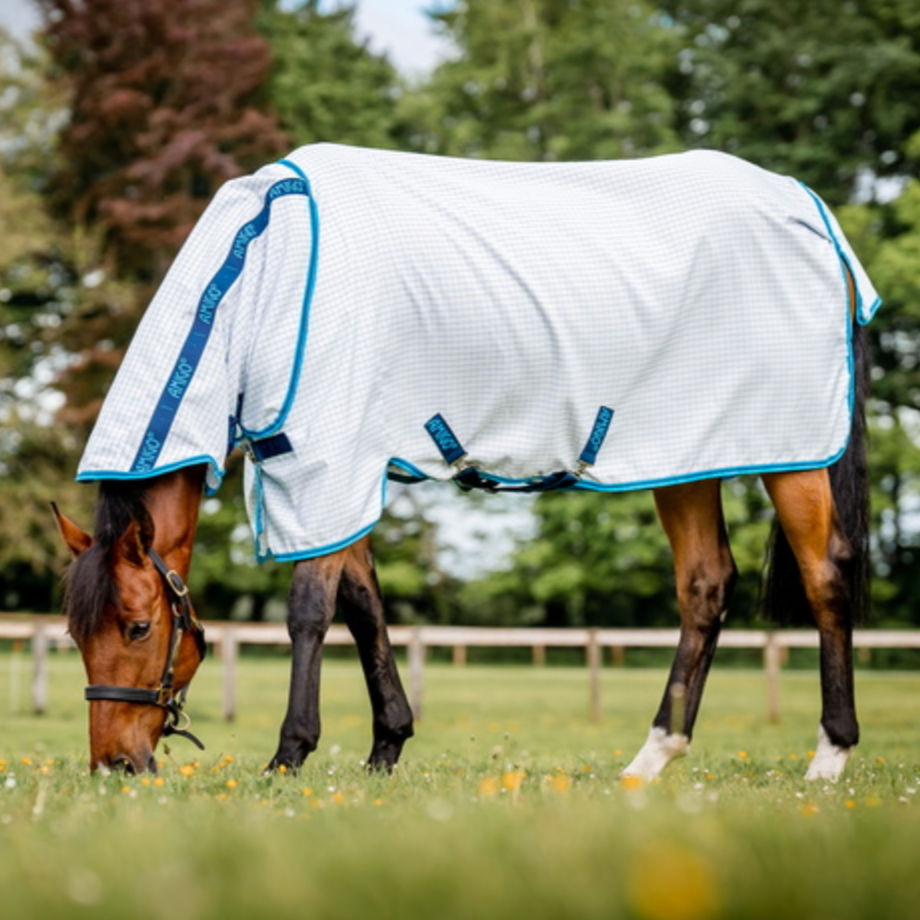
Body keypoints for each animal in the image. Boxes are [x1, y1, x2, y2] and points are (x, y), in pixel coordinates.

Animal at [53, 144, 878, 779]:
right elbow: (365, 607)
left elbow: (310, 612)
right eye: (73, 634)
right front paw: (385, 749)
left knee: (825, 577)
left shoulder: (327, 463)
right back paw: (651, 759)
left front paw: (289, 756)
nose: (114, 766)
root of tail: (809, 209)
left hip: (791, 456)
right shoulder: (344, 474)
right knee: (705, 586)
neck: (259, 271)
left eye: (136, 628)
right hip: (684, 456)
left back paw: (829, 757)